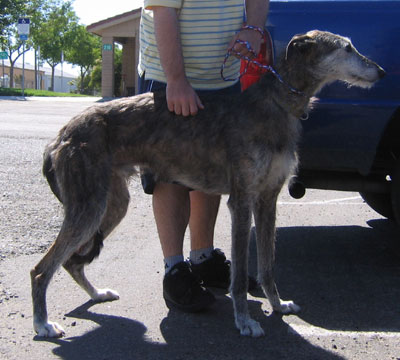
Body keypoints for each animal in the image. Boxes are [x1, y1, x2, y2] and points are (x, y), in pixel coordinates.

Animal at [30, 31, 384, 338]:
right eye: (347, 48)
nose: (381, 71)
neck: (276, 101)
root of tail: (60, 136)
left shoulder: (267, 200)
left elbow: (268, 265)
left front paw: (278, 304)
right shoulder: (241, 201)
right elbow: (240, 276)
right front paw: (245, 322)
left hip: (112, 205)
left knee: (71, 262)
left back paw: (96, 293)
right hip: (89, 207)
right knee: (42, 269)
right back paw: (43, 324)